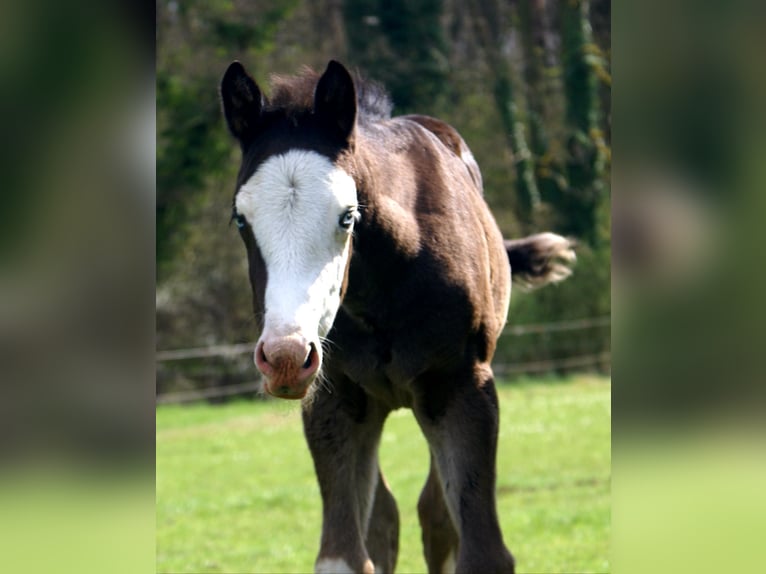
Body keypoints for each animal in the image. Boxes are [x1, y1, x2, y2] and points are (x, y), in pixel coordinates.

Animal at [220, 59, 574, 574]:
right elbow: (345, 555)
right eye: (241, 220)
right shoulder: (334, 400)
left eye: (347, 216)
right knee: (385, 518)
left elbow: (480, 550)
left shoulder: (462, 386)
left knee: (435, 514)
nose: (286, 357)